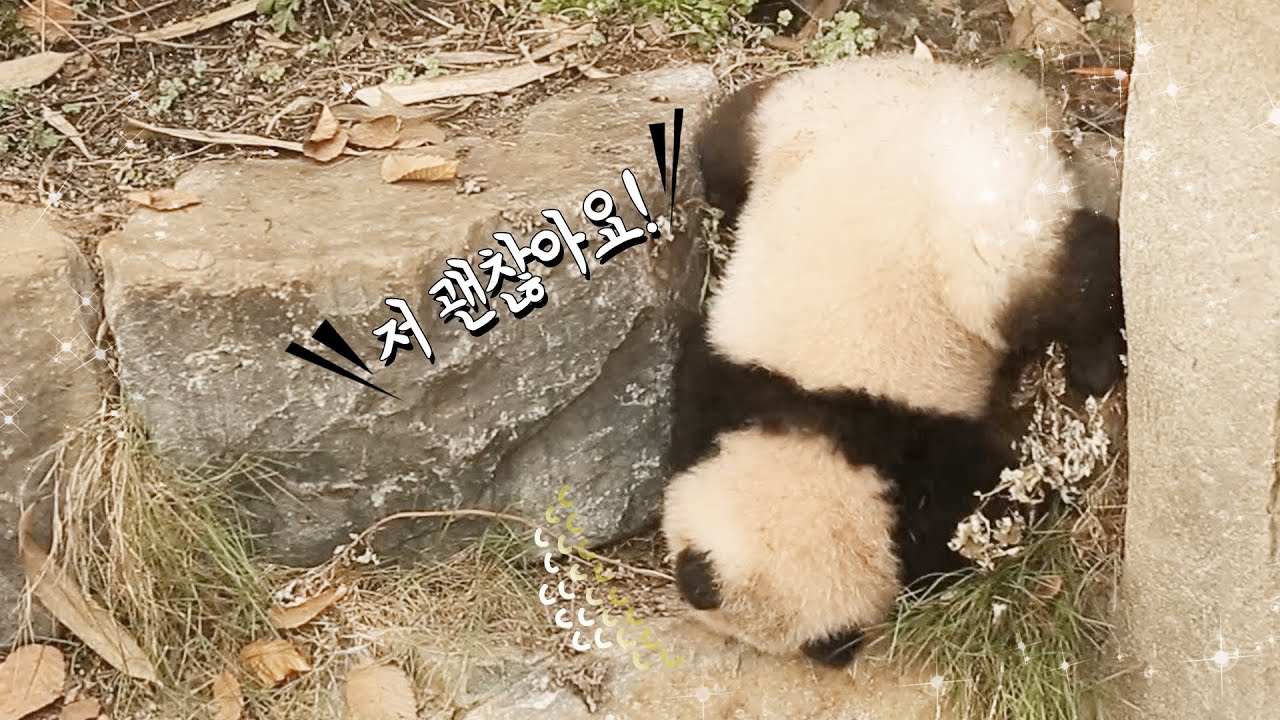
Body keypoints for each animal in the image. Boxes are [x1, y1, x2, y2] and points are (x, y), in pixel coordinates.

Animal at [660, 53, 1125, 667]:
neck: (819, 431)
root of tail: (987, 89)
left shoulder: (920, 451)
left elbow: (977, 512)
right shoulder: (731, 383)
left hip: (993, 225)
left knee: (1070, 276)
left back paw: (1094, 361)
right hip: (794, 115)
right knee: (724, 151)